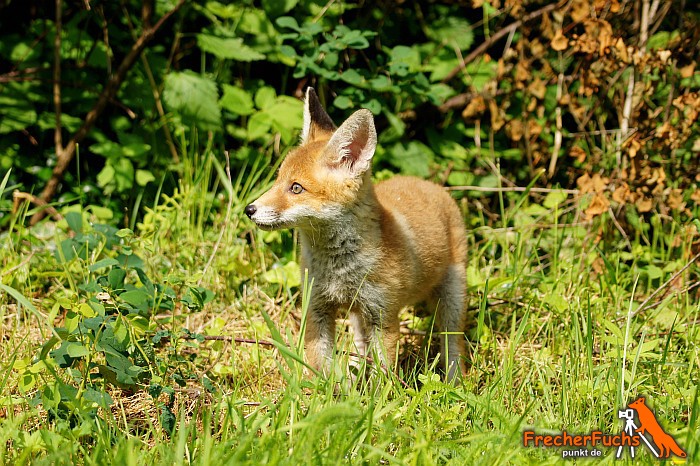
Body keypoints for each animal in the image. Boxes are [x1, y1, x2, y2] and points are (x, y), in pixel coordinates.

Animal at [243, 87, 468, 382]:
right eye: (278, 180)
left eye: (296, 188)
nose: (249, 209)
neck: (339, 269)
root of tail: (429, 184)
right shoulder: (317, 308)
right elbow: (320, 365)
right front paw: (322, 391)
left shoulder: (383, 316)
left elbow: (384, 375)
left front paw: (379, 395)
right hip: (357, 314)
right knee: (361, 346)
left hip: (452, 300)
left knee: (452, 344)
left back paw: (455, 382)